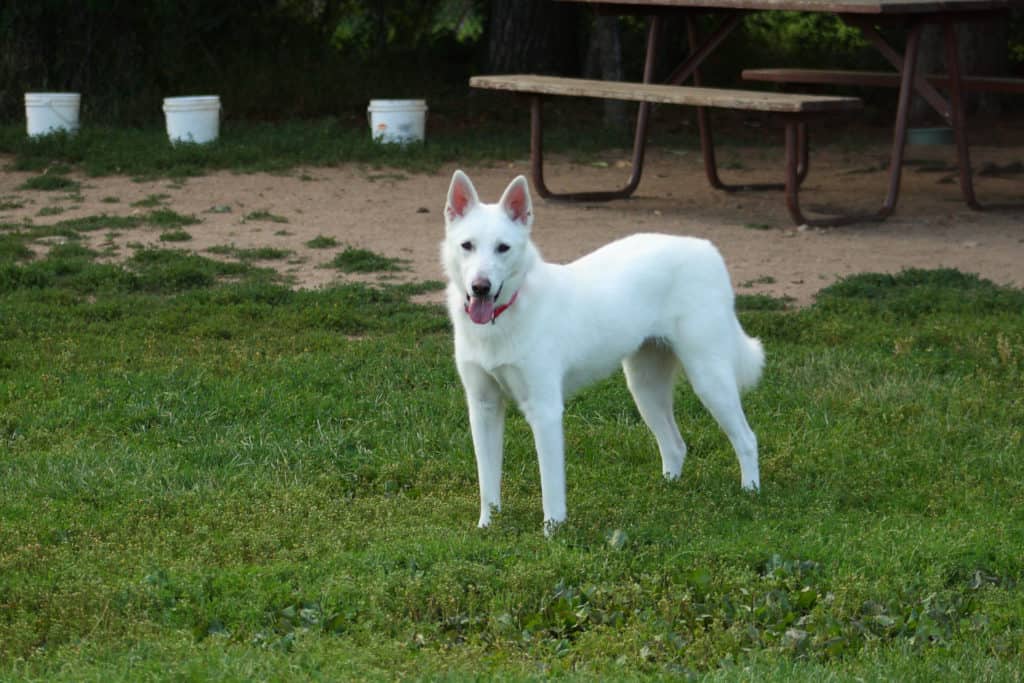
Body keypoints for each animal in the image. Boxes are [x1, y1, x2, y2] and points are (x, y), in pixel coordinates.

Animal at [440, 171, 761, 532]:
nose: (480, 287)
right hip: (644, 387)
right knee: (675, 445)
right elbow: (488, 481)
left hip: (709, 379)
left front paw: (553, 531)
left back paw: (750, 492)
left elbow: (551, 485)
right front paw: (487, 526)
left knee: (747, 439)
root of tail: (706, 248)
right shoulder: (483, 407)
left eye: (503, 248)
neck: (504, 316)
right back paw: (667, 491)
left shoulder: (545, 410)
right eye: (467, 245)